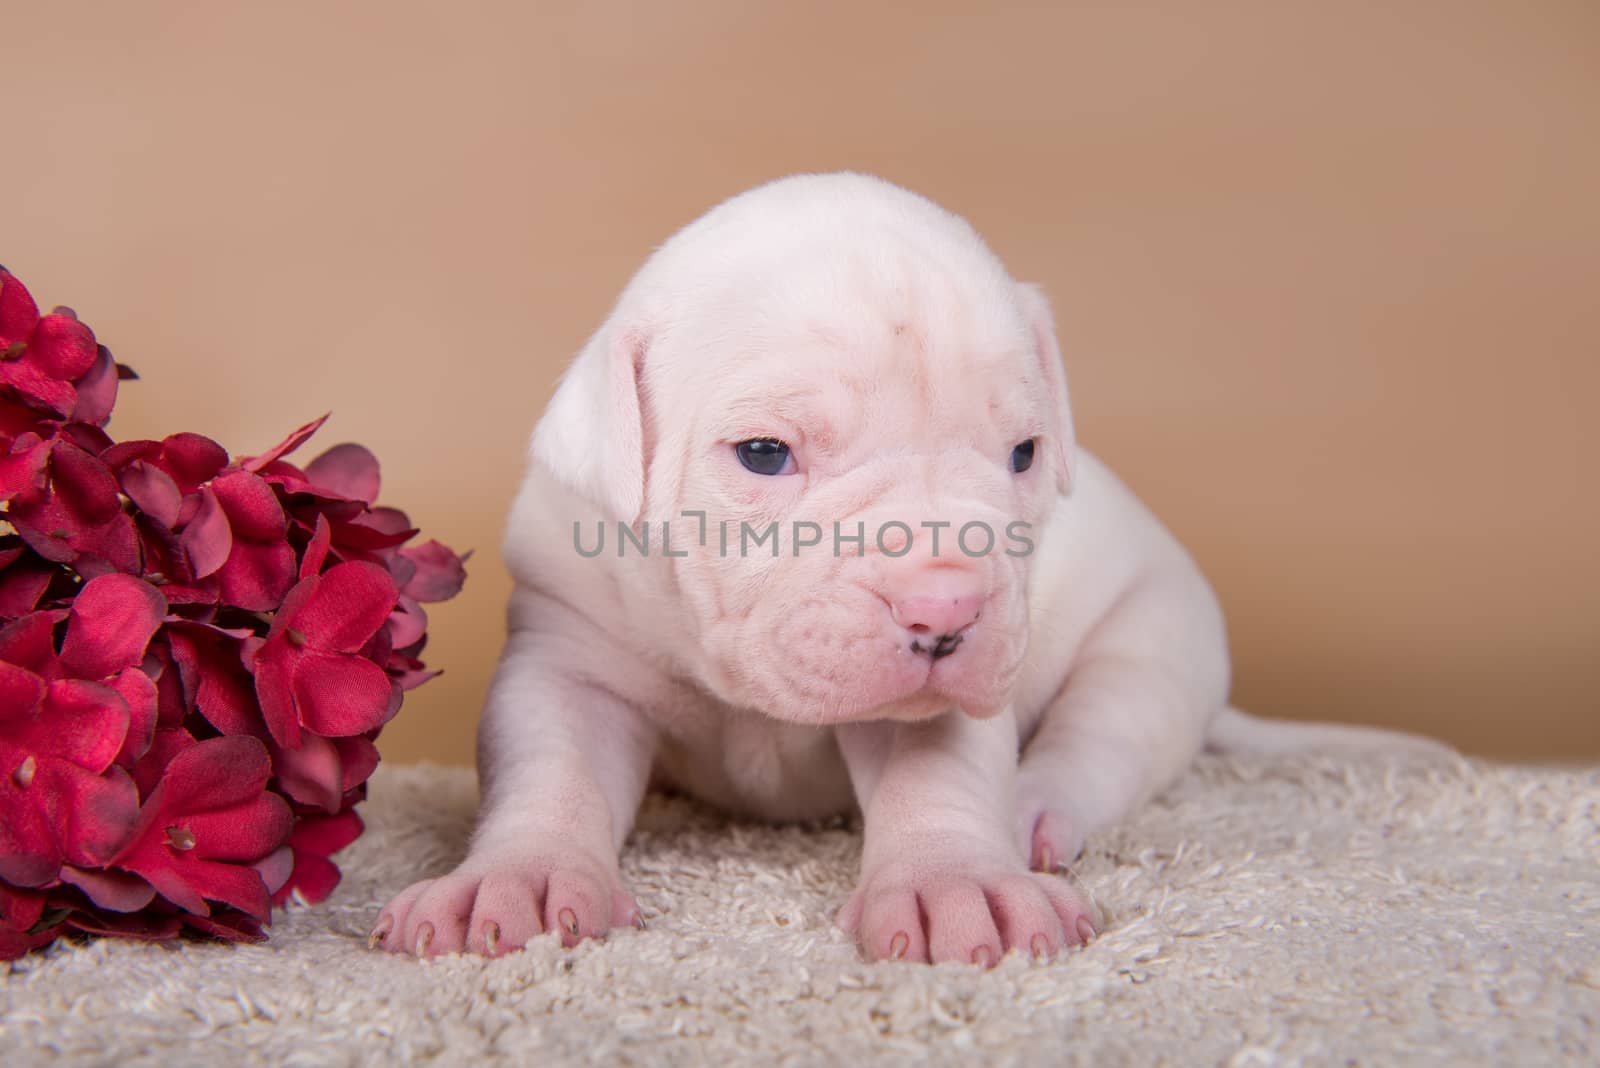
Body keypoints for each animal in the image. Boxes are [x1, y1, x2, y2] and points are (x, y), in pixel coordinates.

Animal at [377, 173, 1452, 959]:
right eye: (763, 454)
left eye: (1022, 454)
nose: (949, 606)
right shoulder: (568, 657)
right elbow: (551, 765)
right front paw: (520, 880)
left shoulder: (956, 700)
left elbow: (941, 776)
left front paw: (955, 883)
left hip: (1155, 641)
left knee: (1098, 745)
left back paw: (1031, 814)